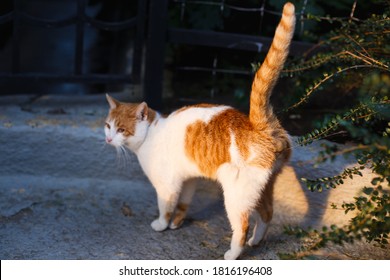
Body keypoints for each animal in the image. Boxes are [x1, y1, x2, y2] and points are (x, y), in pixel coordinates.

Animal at [104, 2, 296, 260]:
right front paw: (177, 223)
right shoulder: (189, 178)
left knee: (242, 225)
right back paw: (256, 241)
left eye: (121, 129)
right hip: (261, 189)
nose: (108, 138)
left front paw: (162, 225)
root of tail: (257, 125)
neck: (153, 133)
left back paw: (233, 253)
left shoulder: (167, 185)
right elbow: (183, 203)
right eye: (108, 125)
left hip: (236, 195)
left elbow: (166, 206)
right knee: (267, 213)